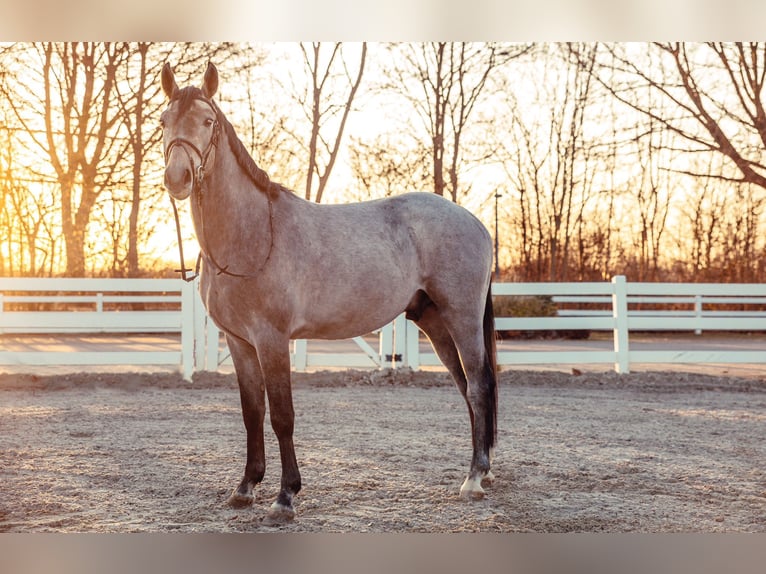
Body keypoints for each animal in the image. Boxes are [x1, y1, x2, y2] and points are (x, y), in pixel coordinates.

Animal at [159, 63, 500, 528]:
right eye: (163, 121)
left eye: (208, 121)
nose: (177, 178)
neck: (252, 233)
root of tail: (475, 221)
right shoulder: (240, 342)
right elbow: (252, 413)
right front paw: (245, 488)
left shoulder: (272, 340)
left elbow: (282, 416)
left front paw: (285, 496)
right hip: (435, 324)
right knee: (466, 389)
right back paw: (481, 470)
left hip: (462, 319)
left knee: (479, 387)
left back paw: (474, 480)